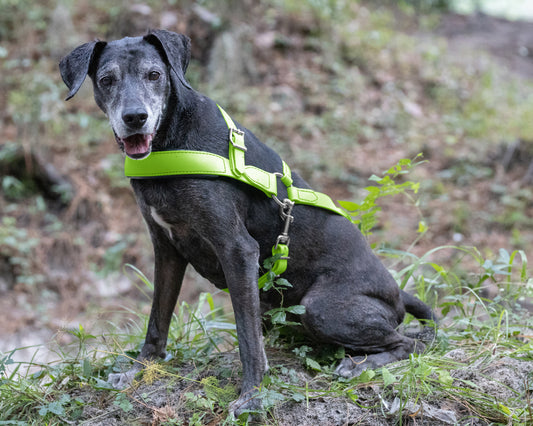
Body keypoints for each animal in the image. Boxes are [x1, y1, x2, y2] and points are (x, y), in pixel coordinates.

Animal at [59, 30, 432, 416]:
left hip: (322, 308)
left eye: (154, 75)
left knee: (411, 343)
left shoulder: (237, 250)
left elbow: (247, 338)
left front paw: (252, 396)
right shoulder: (166, 249)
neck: (170, 142)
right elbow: (157, 320)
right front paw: (140, 368)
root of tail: (397, 294)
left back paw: (361, 365)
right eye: (107, 79)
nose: (135, 117)